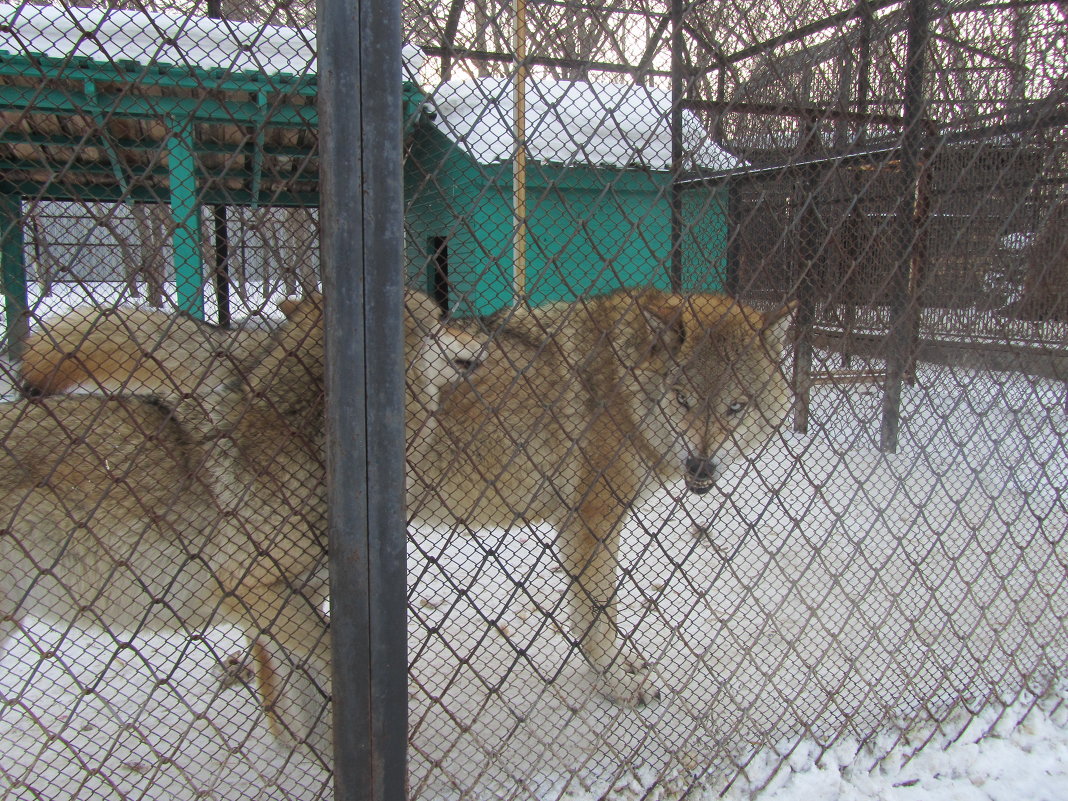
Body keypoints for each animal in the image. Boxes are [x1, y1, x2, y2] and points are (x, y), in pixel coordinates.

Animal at [10, 290, 794, 739]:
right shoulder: (592, 521)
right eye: (684, 402)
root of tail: (250, 355)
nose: (700, 469)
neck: (627, 383)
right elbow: (597, 618)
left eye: (735, 408)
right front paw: (619, 681)